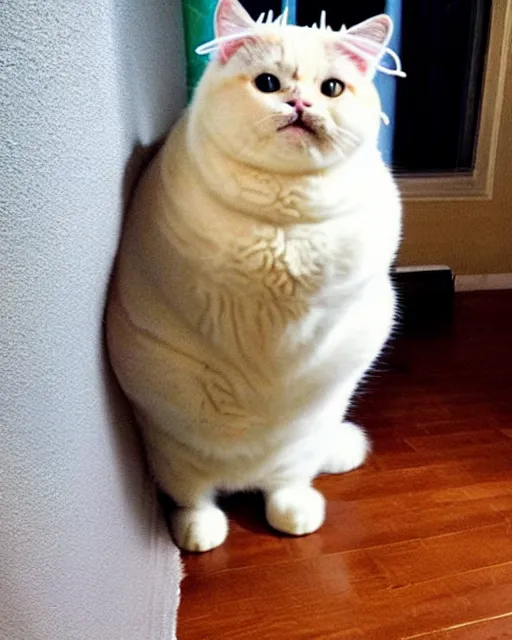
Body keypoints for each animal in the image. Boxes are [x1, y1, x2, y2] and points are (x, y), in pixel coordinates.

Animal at [107, 0, 404, 552]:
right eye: (268, 83)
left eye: (332, 88)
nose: (300, 104)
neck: (285, 215)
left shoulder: (346, 303)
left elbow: (307, 332)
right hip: (173, 448)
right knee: (196, 494)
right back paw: (199, 531)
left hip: (308, 434)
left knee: (284, 482)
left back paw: (295, 510)